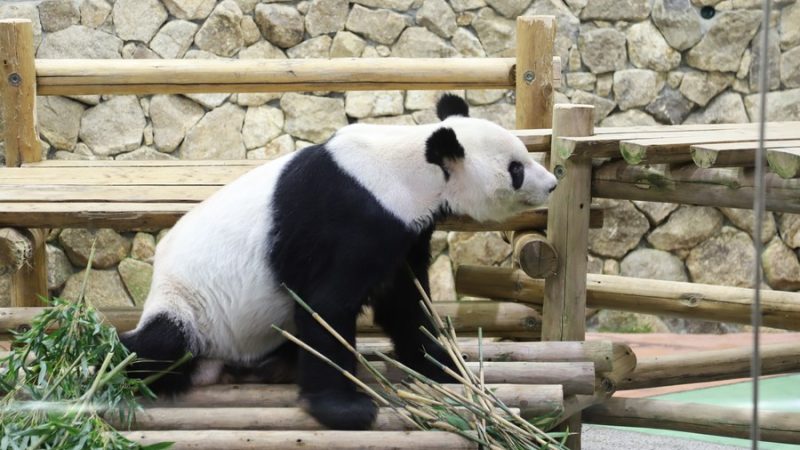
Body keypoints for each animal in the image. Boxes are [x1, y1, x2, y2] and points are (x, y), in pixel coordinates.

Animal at [120, 94, 558, 430]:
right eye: (516, 169)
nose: (552, 184)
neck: (412, 168)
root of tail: (219, 365)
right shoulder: (352, 216)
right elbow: (326, 307)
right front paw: (346, 409)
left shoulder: (402, 231)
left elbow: (404, 303)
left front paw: (441, 364)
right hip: (189, 304)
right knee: (159, 346)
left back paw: (276, 368)